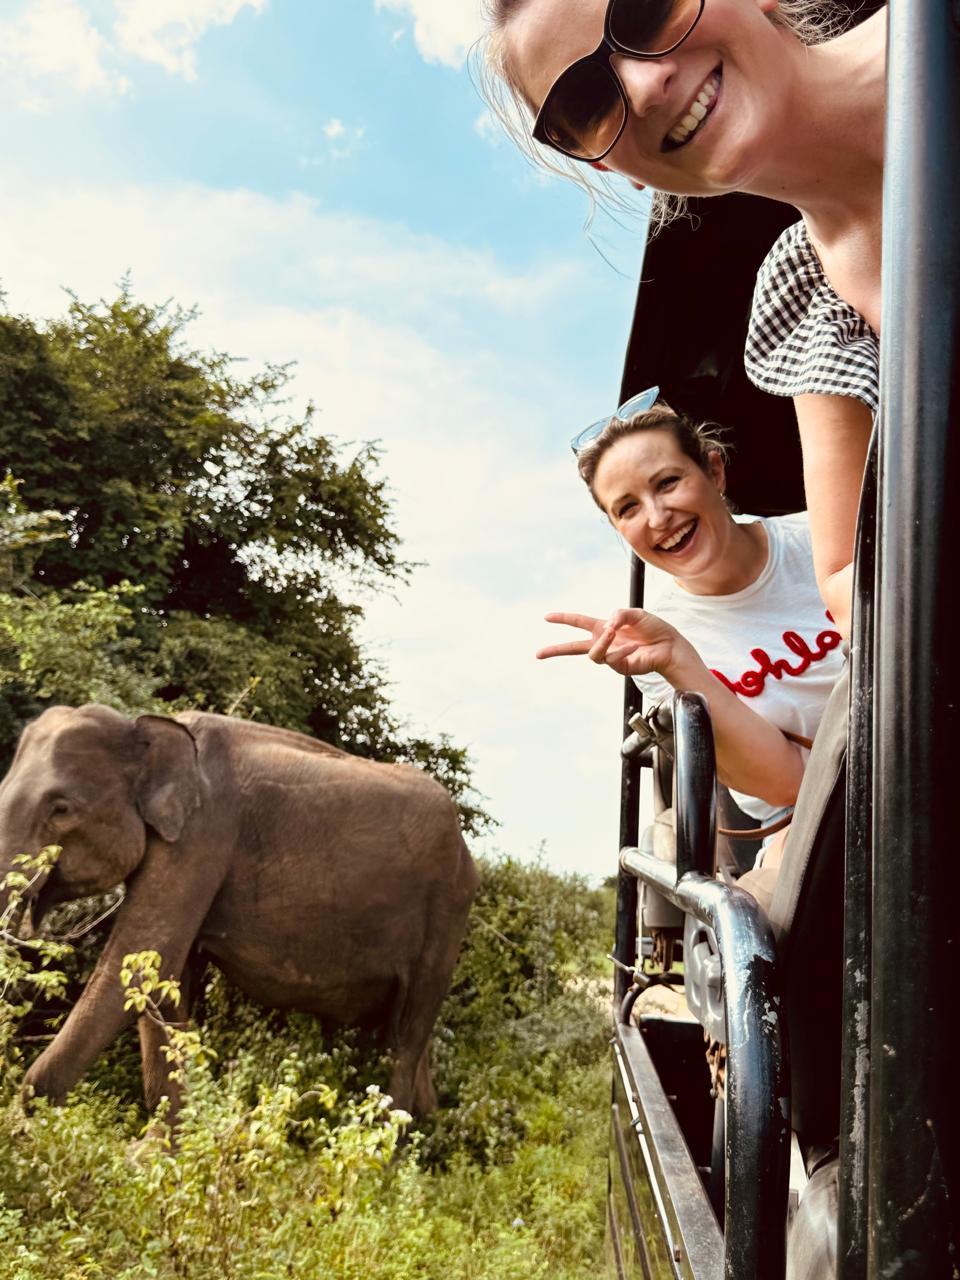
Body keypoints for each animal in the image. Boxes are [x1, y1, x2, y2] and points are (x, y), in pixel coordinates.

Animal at [0, 704, 478, 1117]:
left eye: (61, 809)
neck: (145, 729)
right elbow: (164, 979)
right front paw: (165, 1145)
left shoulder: (202, 835)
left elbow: (136, 963)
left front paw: (28, 1123)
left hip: (447, 912)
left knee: (407, 1035)